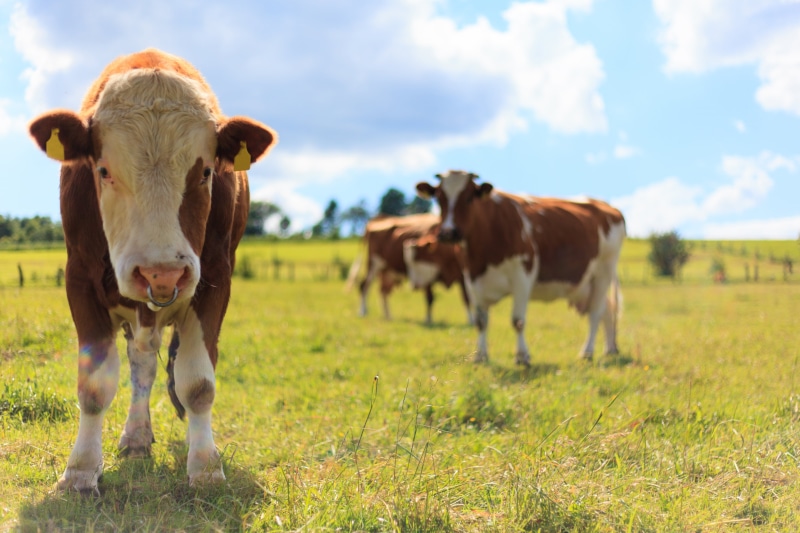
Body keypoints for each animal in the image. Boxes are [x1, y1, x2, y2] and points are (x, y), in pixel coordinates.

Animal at [27, 49, 277, 493]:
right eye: (103, 170)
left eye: (206, 172)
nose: (161, 274)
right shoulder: (79, 281)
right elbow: (94, 386)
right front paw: (80, 471)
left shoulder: (214, 281)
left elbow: (197, 383)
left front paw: (206, 467)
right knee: (141, 363)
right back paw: (136, 437)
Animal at [416, 170, 626, 365]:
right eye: (439, 198)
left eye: (468, 197)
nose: (448, 233)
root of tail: (608, 206)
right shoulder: (471, 278)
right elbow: (481, 321)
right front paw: (481, 356)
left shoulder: (523, 275)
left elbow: (517, 320)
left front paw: (522, 357)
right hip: (582, 284)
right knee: (607, 310)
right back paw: (609, 349)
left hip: (604, 272)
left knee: (595, 313)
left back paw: (587, 352)